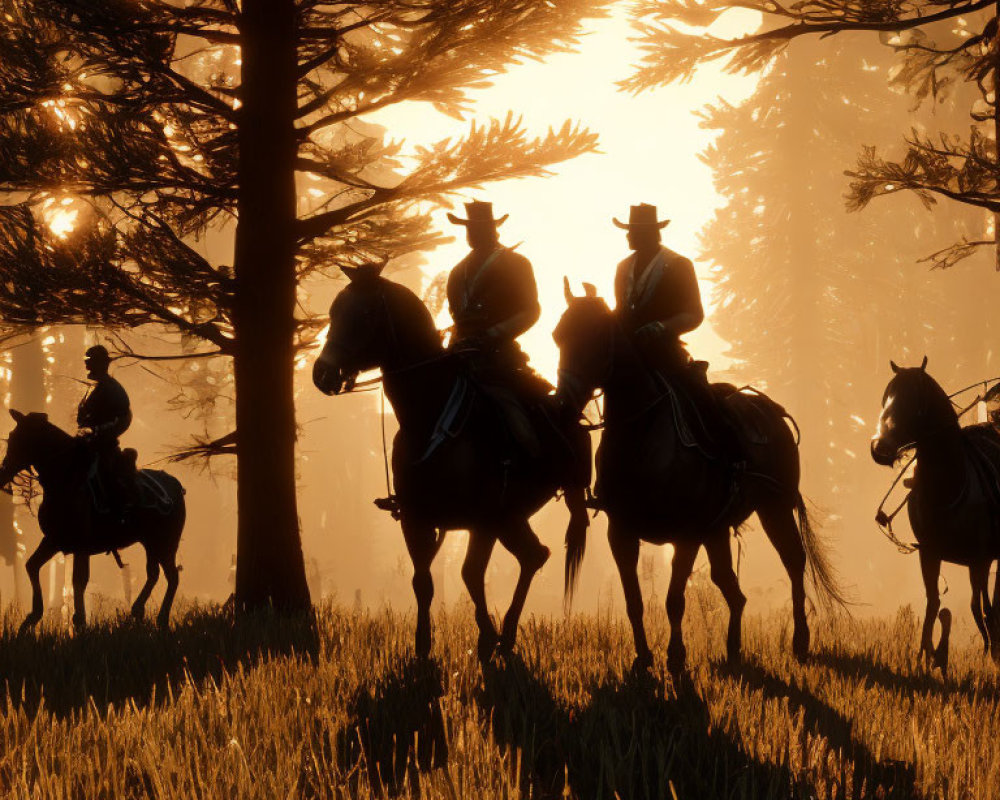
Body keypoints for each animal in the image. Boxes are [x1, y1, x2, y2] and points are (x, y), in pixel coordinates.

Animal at [0, 412, 187, 632]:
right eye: (11, 437)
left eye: (19, 439)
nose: (3, 472)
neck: (65, 481)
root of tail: (175, 486)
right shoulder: (54, 541)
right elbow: (32, 566)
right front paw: (32, 617)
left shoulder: (80, 546)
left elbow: (78, 580)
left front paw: (79, 621)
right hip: (150, 543)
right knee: (154, 573)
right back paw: (138, 609)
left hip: (166, 544)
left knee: (172, 576)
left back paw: (162, 618)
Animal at [312, 266, 588, 660]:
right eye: (334, 312)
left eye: (364, 314)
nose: (322, 373)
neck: (429, 417)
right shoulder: (415, 519)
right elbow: (423, 582)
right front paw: (422, 646)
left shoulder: (483, 521)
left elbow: (470, 574)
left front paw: (485, 639)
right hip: (511, 519)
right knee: (533, 555)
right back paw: (508, 635)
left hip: (508, 517)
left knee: (531, 557)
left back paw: (504, 636)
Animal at [552, 284, 848, 672]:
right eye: (558, 336)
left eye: (596, 336)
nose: (562, 405)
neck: (644, 438)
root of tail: (772, 411)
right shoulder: (622, 533)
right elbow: (635, 601)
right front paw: (643, 658)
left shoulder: (687, 535)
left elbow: (674, 599)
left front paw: (676, 657)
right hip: (718, 531)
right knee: (733, 589)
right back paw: (733, 649)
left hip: (775, 509)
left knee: (793, 563)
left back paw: (800, 641)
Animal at [868, 358, 1000, 664]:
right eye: (886, 397)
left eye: (915, 401)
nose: (880, 448)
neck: (950, 484)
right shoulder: (929, 554)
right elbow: (933, 603)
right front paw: (925, 655)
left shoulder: (981, 559)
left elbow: (984, 608)